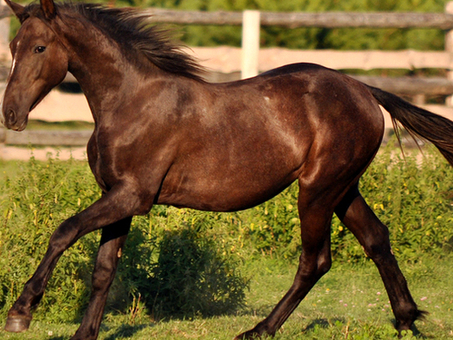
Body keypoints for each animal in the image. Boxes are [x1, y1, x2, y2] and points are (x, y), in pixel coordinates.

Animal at [2, 0, 452, 338]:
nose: (10, 115)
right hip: (343, 188)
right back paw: (407, 320)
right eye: (13, 46)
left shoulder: (134, 195)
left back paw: (260, 330)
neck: (130, 103)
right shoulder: (115, 195)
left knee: (316, 261)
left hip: (317, 190)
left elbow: (64, 231)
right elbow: (104, 269)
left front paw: (21, 311)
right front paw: (84, 333)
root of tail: (364, 89)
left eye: (39, 48)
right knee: (376, 239)